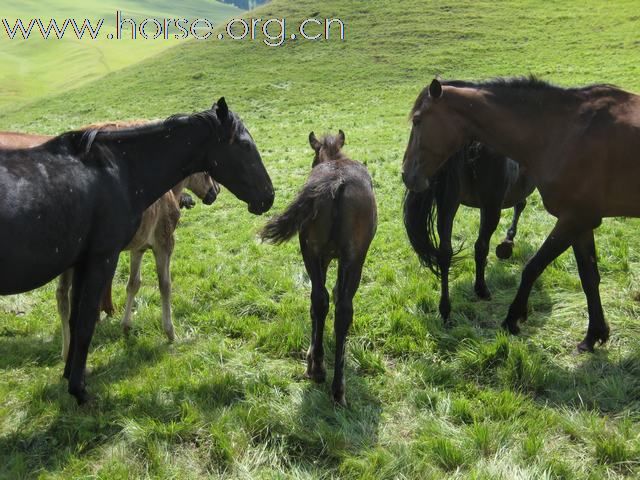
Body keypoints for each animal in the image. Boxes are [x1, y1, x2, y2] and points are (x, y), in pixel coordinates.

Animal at [0, 98, 272, 404]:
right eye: (245, 145)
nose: (268, 196)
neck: (120, 172)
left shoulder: (92, 260)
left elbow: (85, 311)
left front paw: (71, 373)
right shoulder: (106, 256)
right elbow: (89, 320)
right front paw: (79, 389)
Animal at [262, 130, 378, 404]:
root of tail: (336, 182)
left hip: (313, 252)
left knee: (320, 300)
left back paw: (320, 371)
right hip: (352, 258)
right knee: (340, 308)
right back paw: (334, 383)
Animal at [404, 142, 536, 322]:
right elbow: (521, 204)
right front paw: (507, 243)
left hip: (448, 200)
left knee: (445, 253)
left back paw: (445, 310)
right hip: (490, 204)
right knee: (481, 246)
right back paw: (481, 289)